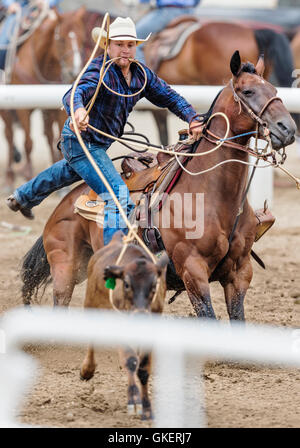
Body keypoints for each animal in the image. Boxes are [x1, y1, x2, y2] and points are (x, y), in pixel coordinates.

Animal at [1, 6, 85, 191]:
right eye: (61, 39)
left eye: (82, 39)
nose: (74, 71)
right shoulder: (23, 108)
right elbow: (28, 142)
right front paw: (28, 173)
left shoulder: (55, 108)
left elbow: (54, 137)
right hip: (7, 111)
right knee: (9, 136)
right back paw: (9, 178)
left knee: (46, 134)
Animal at [20, 50, 296, 320]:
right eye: (248, 91)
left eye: (274, 90)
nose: (289, 129)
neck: (212, 196)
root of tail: (64, 205)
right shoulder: (193, 272)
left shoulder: (239, 273)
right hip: (65, 269)